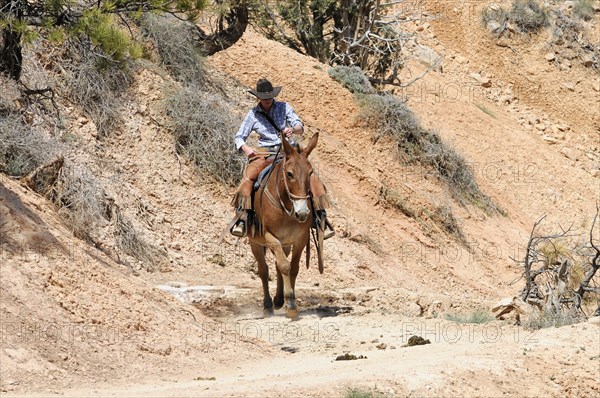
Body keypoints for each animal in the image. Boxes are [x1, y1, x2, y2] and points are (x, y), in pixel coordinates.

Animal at [250, 132, 322, 318]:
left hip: (286, 244)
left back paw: (278, 299)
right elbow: (284, 266)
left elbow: (293, 268)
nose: (302, 213)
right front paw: (290, 302)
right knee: (263, 269)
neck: (287, 207)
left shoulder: (300, 239)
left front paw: (289, 300)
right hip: (255, 242)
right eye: (289, 174)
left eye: (310, 172)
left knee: (277, 266)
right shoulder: (270, 237)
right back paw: (268, 305)